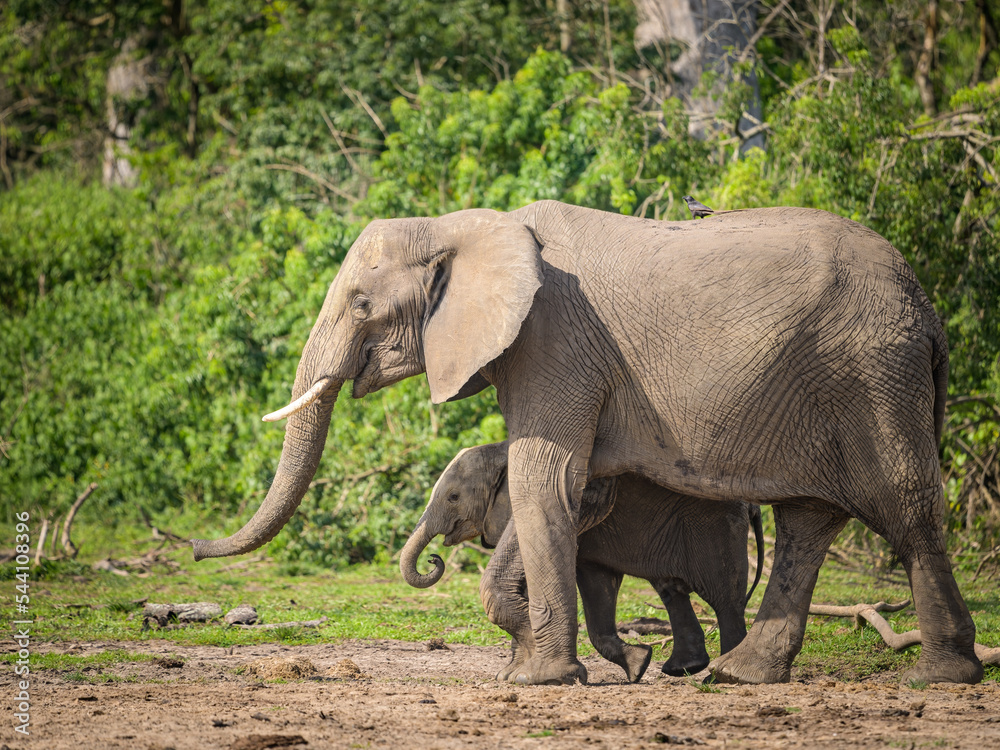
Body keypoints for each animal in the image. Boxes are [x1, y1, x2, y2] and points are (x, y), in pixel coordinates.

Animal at [399, 441, 765, 682]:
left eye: (453, 497)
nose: (434, 558)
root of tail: (752, 505)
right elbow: (594, 584)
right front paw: (638, 664)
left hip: (715, 527)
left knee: (724, 597)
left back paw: (716, 677)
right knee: (672, 589)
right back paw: (681, 669)